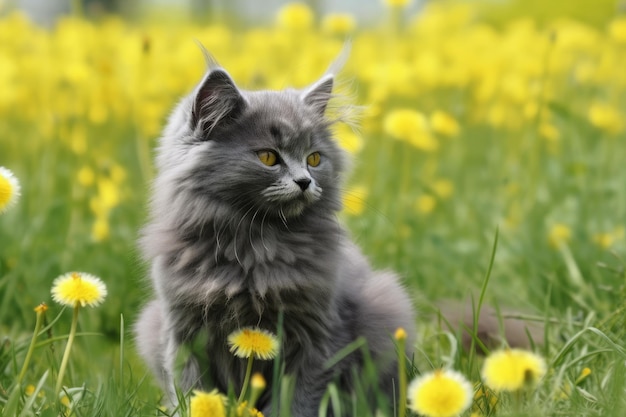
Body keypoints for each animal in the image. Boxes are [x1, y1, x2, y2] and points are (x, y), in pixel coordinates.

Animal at [133, 53, 414, 414]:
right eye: (268, 157)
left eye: (314, 158)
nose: (305, 181)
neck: (255, 246)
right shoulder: (182, 331)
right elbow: (193, 393)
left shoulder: (317, 336)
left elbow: (298, 401)